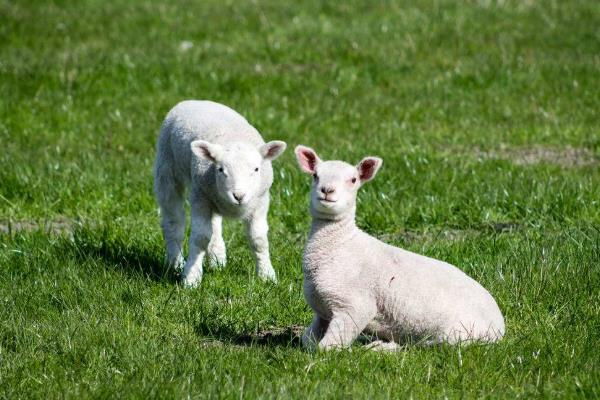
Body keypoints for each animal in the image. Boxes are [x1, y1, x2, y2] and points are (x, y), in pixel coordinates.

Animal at [154, 100, 288, 288]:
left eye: (256, 169)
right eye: (220, 169)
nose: (239, 196)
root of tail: (193, 101)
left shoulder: (261, 201)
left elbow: (258, 238)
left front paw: (267, 276)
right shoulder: (199, 197)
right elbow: (200, 237)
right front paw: (191, 279)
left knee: (215, 226)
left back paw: (217, 260)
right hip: (166, 169)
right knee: (173, 223)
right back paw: (175, 263)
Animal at [292, 145, 504, 350]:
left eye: (353, 180)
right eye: (315, 175)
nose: (327, 190)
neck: (340, 245)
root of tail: (500, 326)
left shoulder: (354, 306)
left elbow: (326, 347)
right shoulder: (323, 311)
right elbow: (307, 339)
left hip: (459, 333)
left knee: (428, 345)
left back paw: (384, 347)